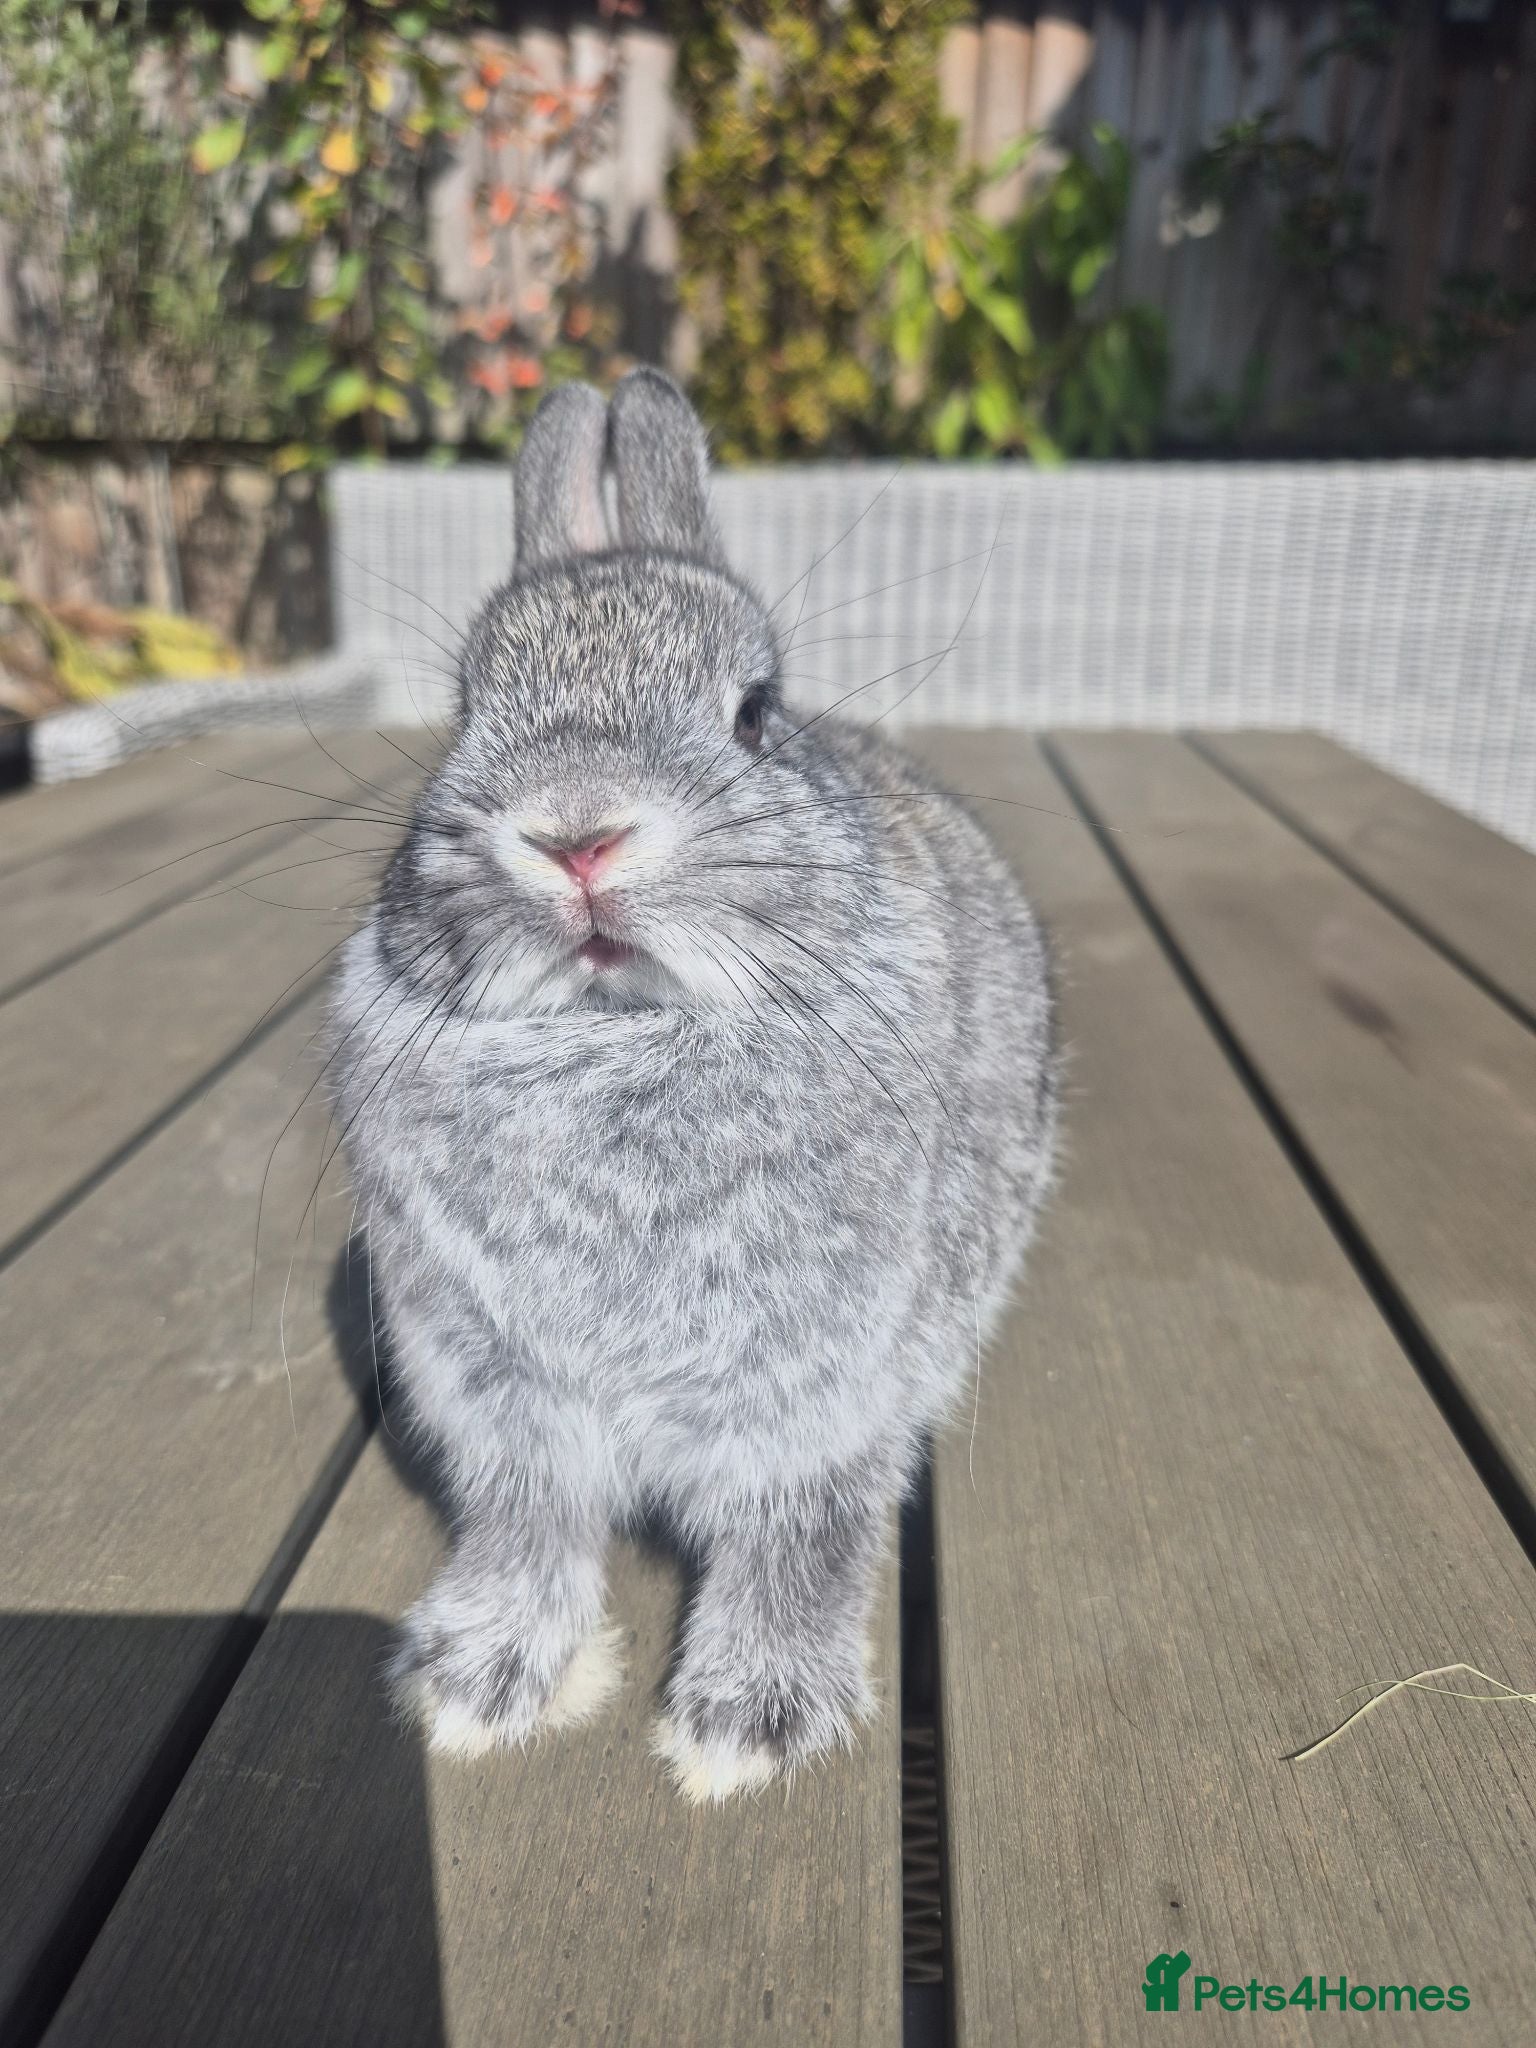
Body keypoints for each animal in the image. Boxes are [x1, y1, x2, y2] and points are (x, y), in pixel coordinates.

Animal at [330, 368, 1058, 1802]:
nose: (576, 834)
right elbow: (530, 1527)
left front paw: (745, 1726)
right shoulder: (502, 1396)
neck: (616, 1036)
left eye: (755, 710)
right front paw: (478, 1682)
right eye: (465, 712)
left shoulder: (819, 1392)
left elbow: (800, 1533)